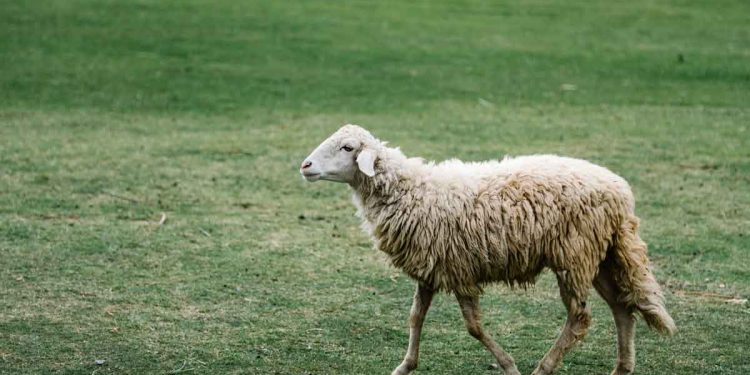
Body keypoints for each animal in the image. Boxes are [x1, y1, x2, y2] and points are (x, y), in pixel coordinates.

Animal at [302, 125, 680, 375]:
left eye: (347, 147)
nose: (305, 166)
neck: (413, 191)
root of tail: (621, 192)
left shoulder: (459, 270)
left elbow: (473, 327)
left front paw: (509, 366)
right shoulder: (431, 267)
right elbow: (415, 317)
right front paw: (404, 366)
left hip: (574, 256)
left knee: (580, 318)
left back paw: (543, 368)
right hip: (598, 256)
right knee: (622, 308)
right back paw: (621, 368)